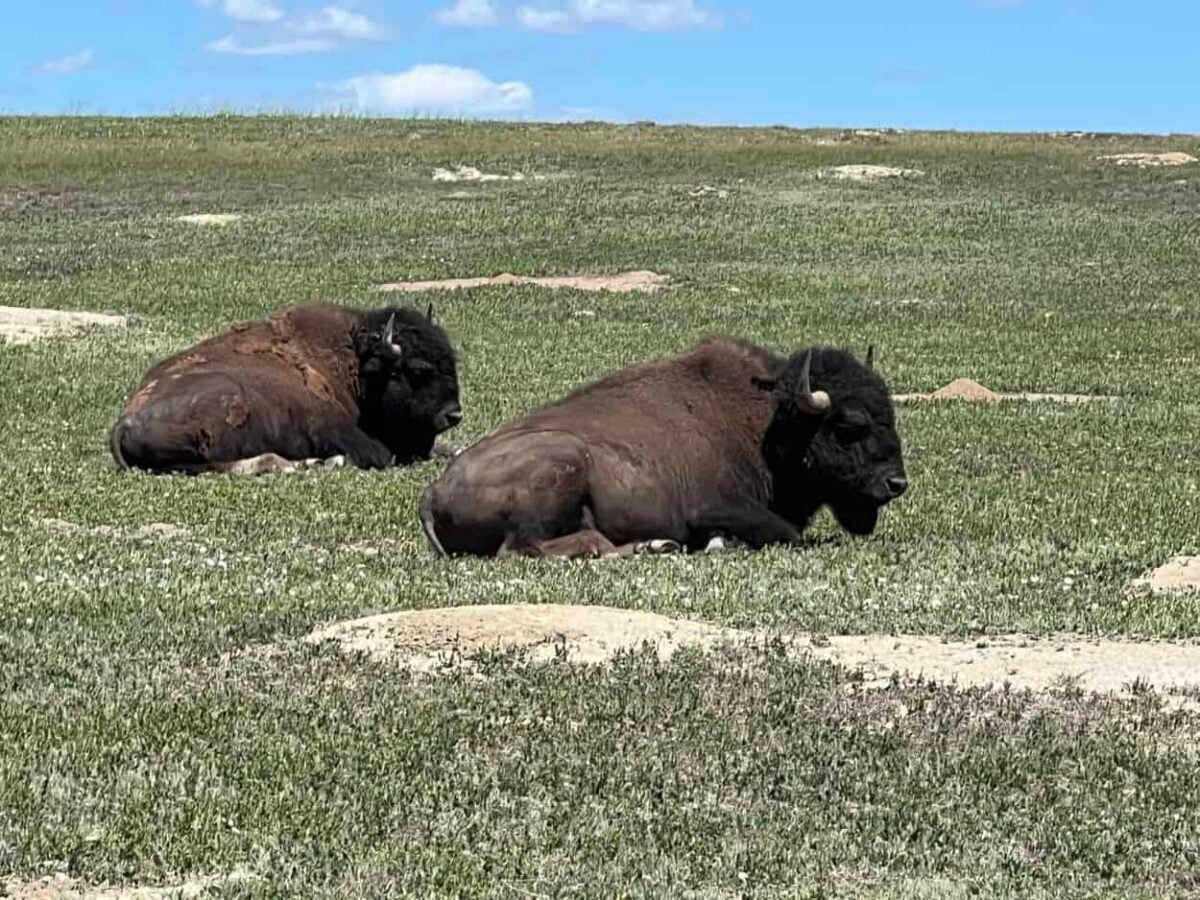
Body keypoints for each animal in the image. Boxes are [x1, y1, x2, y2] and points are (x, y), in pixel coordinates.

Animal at [110, 303, 461, 474]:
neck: (357, 365)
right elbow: (382, 455)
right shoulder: (346, 436)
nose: (453, 415)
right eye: (418, 369)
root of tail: (125, 420)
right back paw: (314, 464)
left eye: (452, 361)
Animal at [420, 336, 906, 557]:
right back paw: (653, 547)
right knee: (533, 547)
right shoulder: (714, 507)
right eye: (850, 425)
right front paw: (719, 543)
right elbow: (786, 533)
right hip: (563, 461)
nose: (896, 483)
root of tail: (432, 493)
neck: (770, 423)